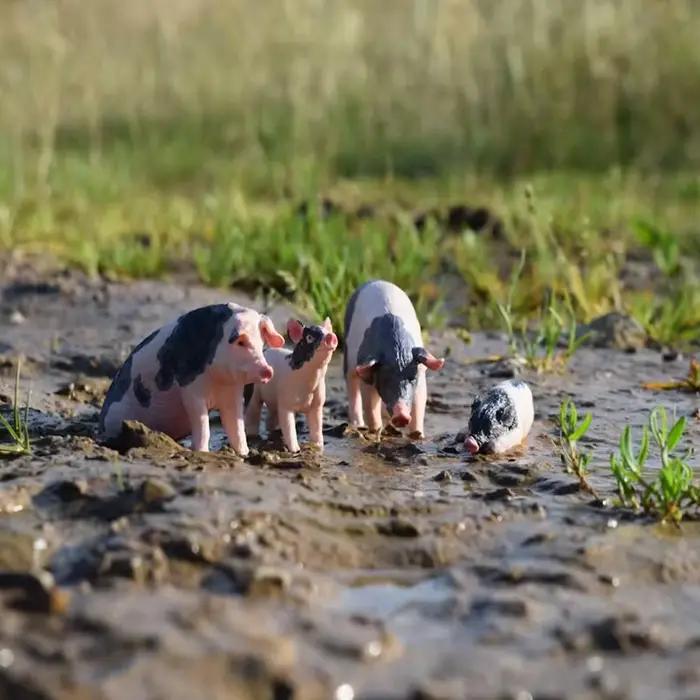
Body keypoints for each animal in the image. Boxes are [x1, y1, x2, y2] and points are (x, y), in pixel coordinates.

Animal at [99, 303, 285, 456]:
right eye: (241, 343)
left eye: (261, 344)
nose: (268, 370)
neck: (218, 381)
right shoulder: (190, 387)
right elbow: (203, 424)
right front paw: (202, 452)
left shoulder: (233, 391)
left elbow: (236, 426)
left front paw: (244, 453)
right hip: (115, 417)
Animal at [244, 317, 338, 453]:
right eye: (309, 337)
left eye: (327, 331)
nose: (331, 336)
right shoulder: (286, 403)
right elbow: (289, 425)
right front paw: (295, 450)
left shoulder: (317, 405)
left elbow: (316, 426)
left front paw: (318, 447)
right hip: (252, 390)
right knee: (253, 410)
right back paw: (253, 436)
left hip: (273, 401)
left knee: (271, 417)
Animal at [344, 280, 445, 437]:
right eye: (385, 379)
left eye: (412, 378)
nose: (401, 415)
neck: (397, 351)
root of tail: (374, 280)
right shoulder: (368, 373)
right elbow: (370, 406)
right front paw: (376, 431)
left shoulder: (420, 373)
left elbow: (419, 404)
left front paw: (418, 435)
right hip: (348, 353)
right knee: (352, 385)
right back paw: (358, 425)